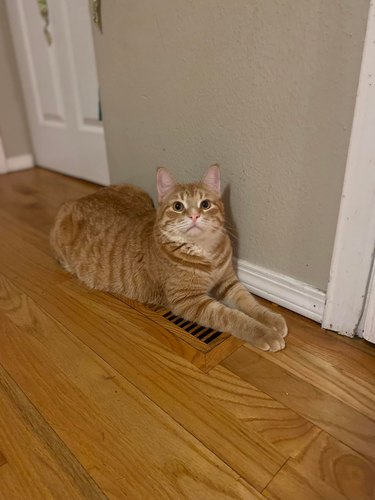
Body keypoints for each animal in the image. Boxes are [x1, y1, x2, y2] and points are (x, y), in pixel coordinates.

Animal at [50, 166, 288, 350]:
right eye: (178, 206)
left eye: (205, 204)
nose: (194, 216)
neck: (204, 251)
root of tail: (82, 198)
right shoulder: (191, 301)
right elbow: (233, 317)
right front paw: (265, 334)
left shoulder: (228, 283)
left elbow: (249, 303)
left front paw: (272, 319)